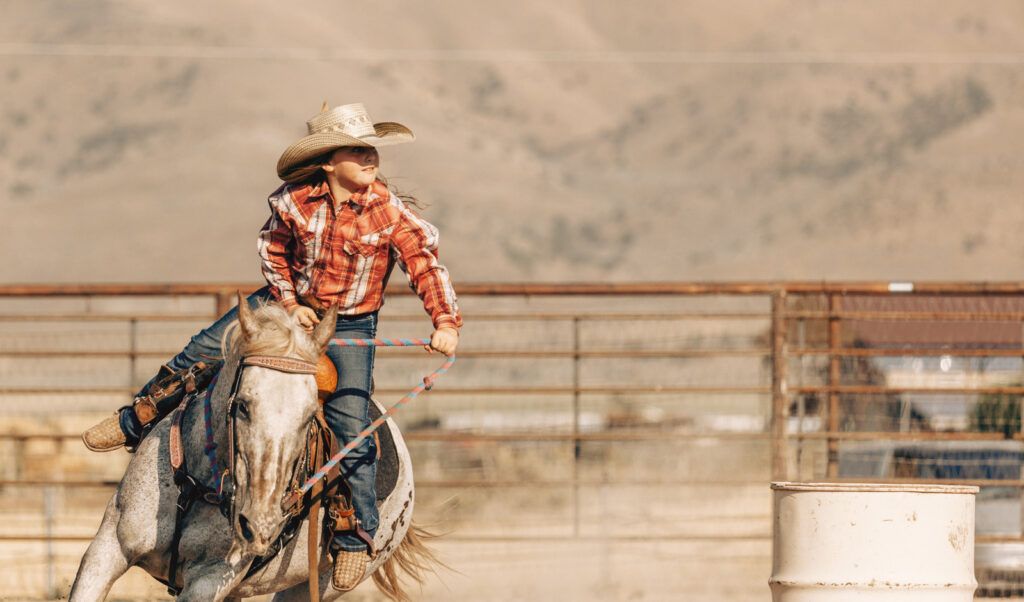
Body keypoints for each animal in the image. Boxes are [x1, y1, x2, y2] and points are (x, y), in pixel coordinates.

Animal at [68, 298, 436, 597]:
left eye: (308, 417)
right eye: (243, 405)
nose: (260, 525)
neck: (198, 485)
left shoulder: (210, 580)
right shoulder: (108, 548)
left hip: (318, 584)